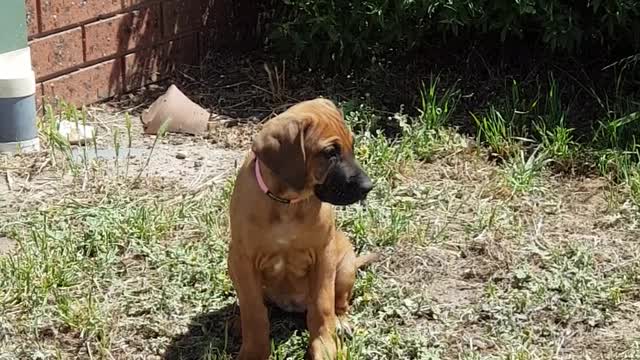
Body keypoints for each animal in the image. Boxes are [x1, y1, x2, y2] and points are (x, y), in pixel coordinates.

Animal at [229, 98, 376, 360]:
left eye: (353, 145)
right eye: (330, 153)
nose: (368, 187)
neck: (287, 202)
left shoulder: (323, 255)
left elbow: (322, 306)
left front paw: (324, 347)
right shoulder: (243, 259)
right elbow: (253, 310)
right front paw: (254, 350)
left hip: (345, 266)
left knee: (339, 302)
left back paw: (341, 321)